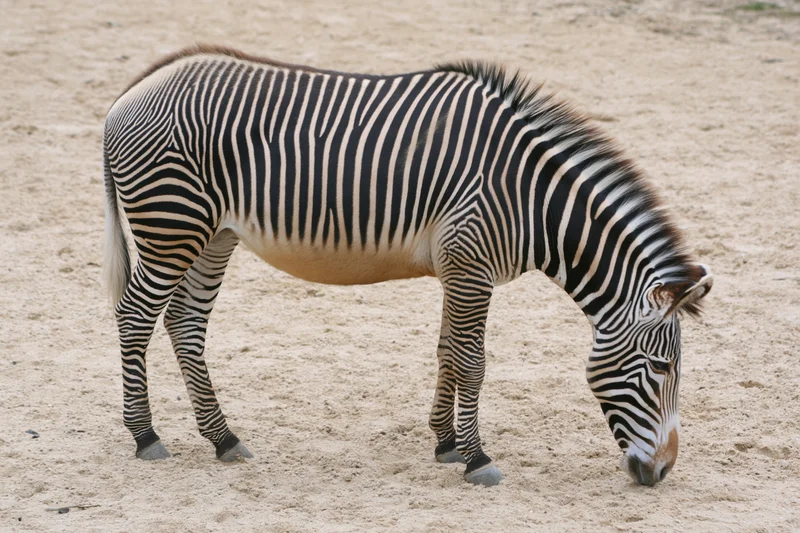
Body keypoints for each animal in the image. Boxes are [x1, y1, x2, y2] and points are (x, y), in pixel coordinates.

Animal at [103, 45, 712, 487]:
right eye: (662, 369)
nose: (661, 473)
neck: (530, 198)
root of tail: (133, 90)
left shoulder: (460, 268)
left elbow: (447, 351)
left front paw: (445, 443)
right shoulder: (471, 266)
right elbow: (473, 361)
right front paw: (477, 458)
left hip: (213, 234)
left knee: (185, 323)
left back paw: (223, 438)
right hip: (171, 225)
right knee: (135, 317)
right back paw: (145, 436)